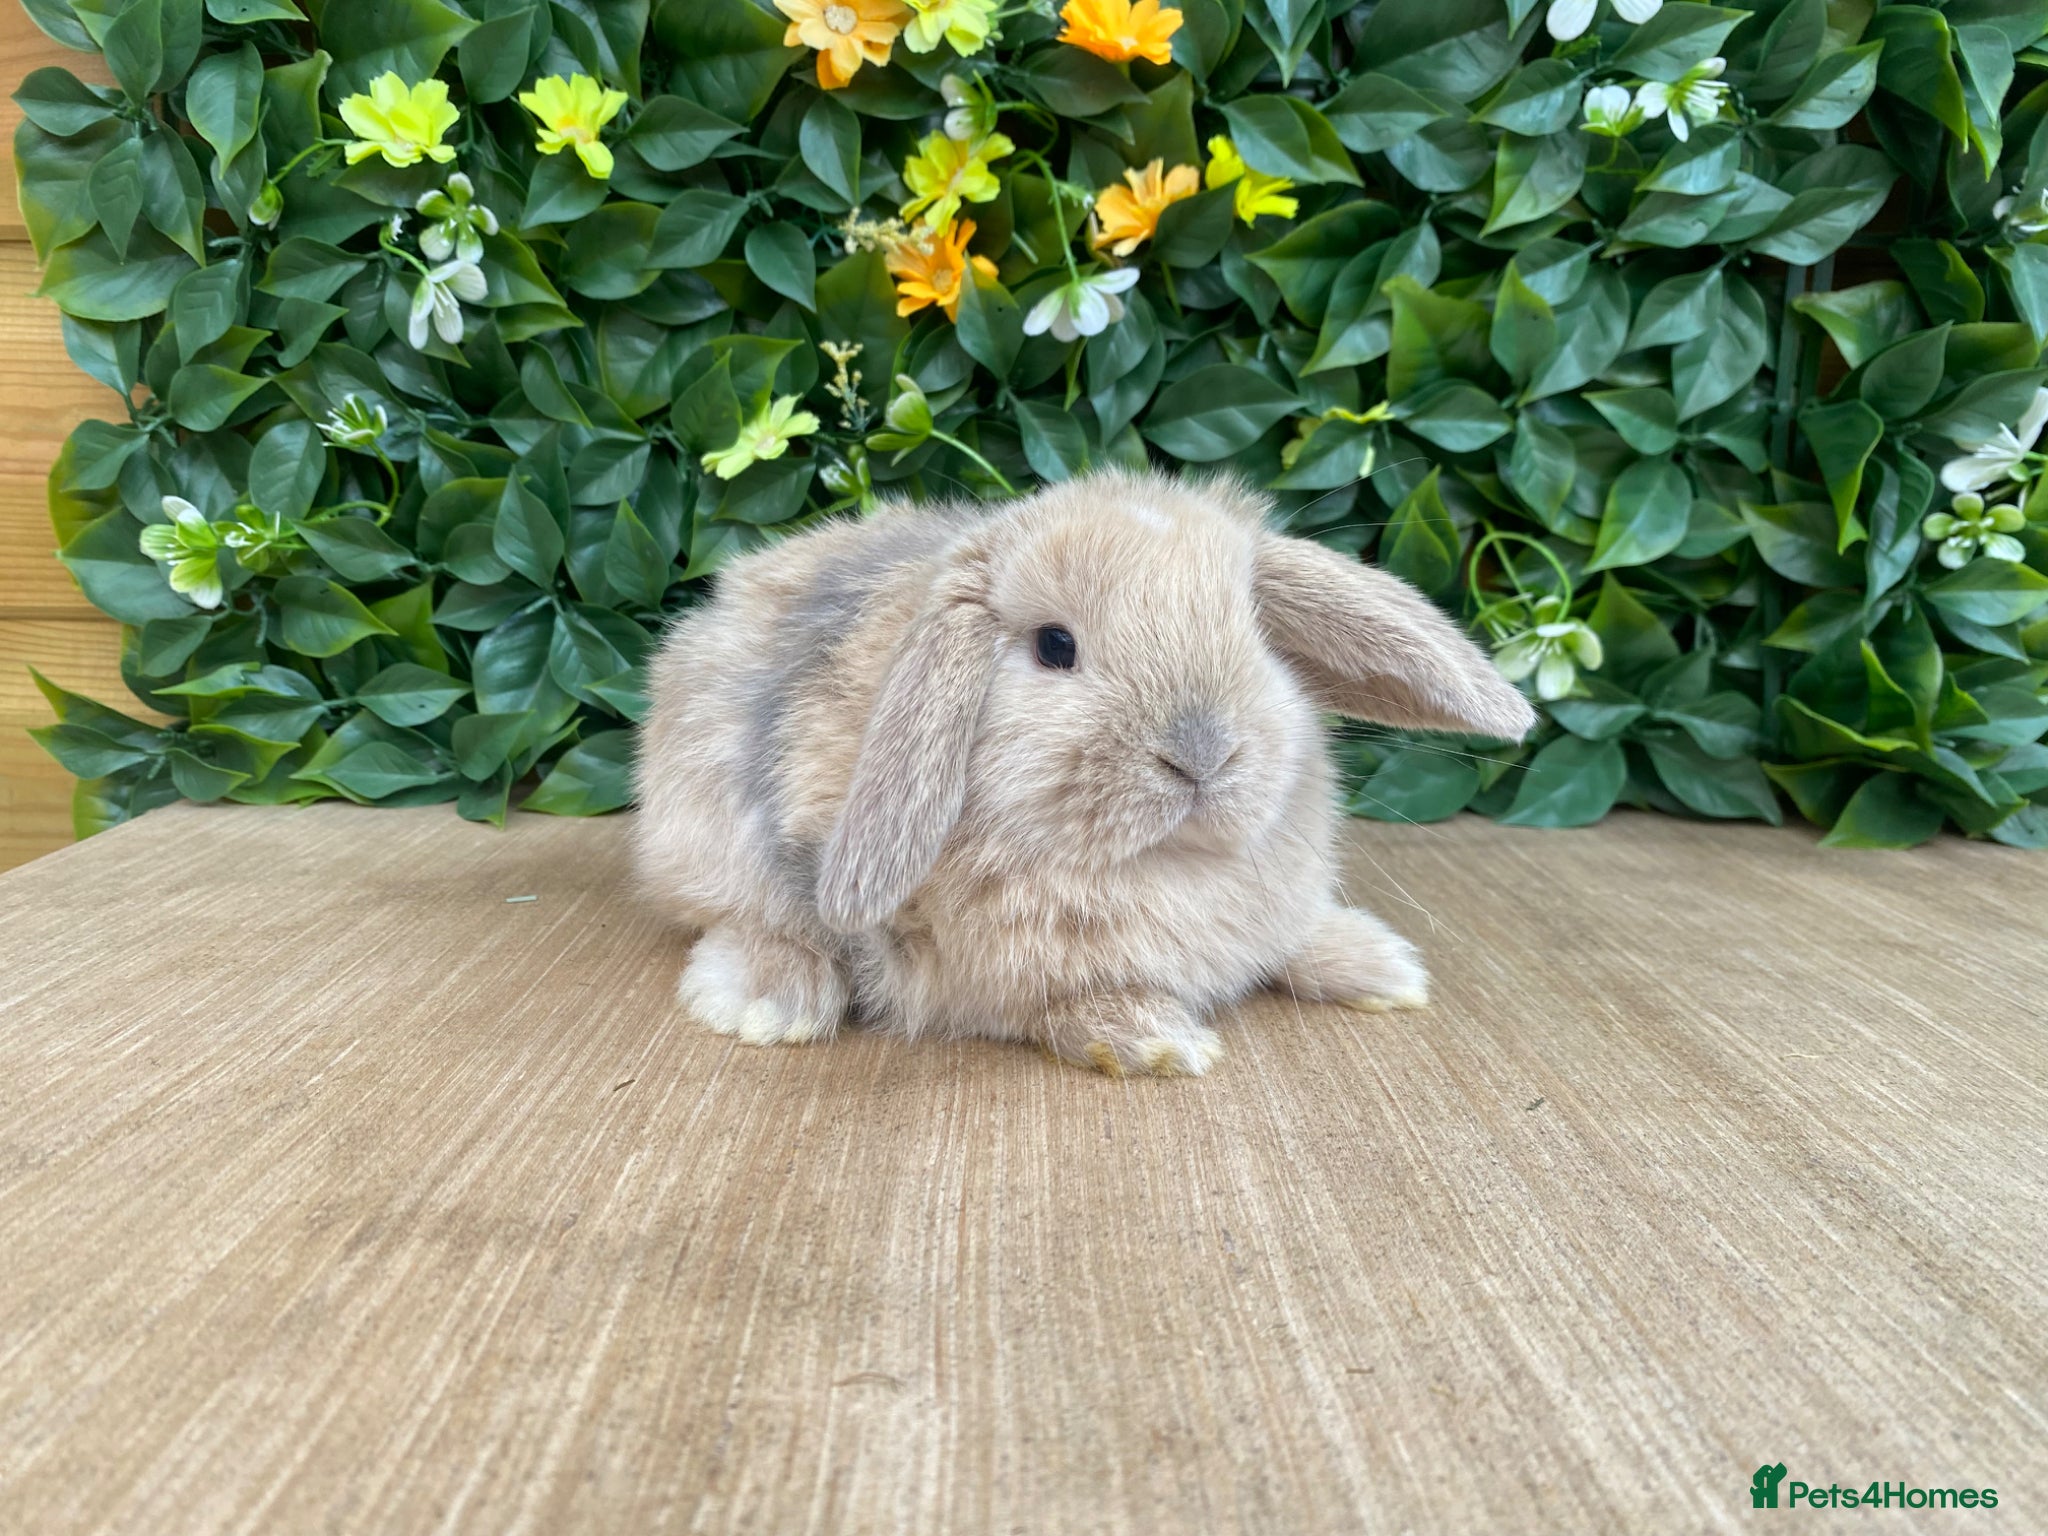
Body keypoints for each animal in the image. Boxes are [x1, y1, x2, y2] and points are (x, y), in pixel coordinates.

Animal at [634, 468, 1536, 1076]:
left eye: (1254, 631)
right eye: (1054, 646)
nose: (1202, 751)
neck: (1160, 866)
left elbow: (1285, 941)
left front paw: (1380, 966)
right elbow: (1065, 1006)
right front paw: (1157, 1039)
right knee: (749, 921)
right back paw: (769, 1000)